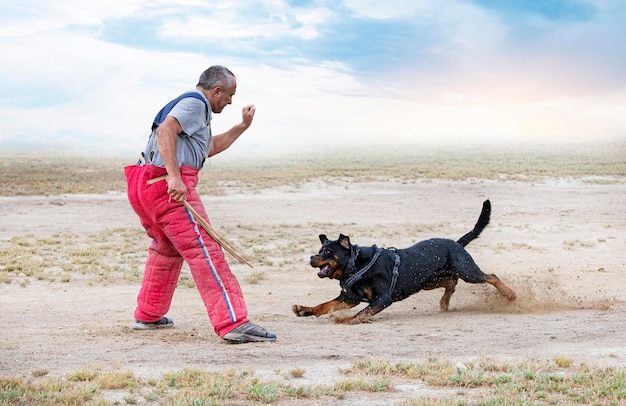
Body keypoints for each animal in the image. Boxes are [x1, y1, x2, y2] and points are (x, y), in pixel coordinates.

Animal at [290, 200, 516, 324]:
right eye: (318, 250)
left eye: (327, 251)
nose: (311, 257)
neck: (356, 266)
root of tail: (456, 243)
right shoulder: (349, 298)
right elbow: (325, 305)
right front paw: (305, 309)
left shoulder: (381, 299)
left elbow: (361, 314)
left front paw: (345, 320)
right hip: (427, 281)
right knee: (450, 283)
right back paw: (444, 302)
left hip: (467, 270)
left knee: (490, 277)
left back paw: (510, 294)